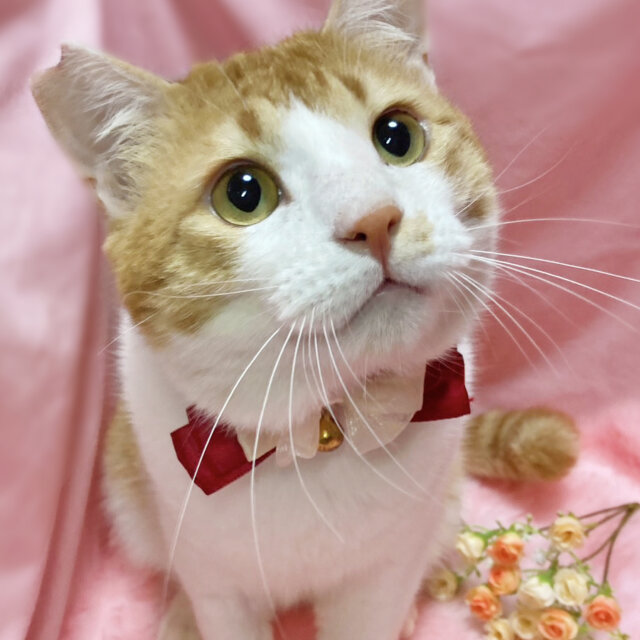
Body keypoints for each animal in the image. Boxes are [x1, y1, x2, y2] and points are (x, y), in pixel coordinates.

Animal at [32, 0, 578, 638]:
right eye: (244, 192)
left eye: (397, 135)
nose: (375, 220)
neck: (318, 433)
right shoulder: (213, 573)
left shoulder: (384, 573)